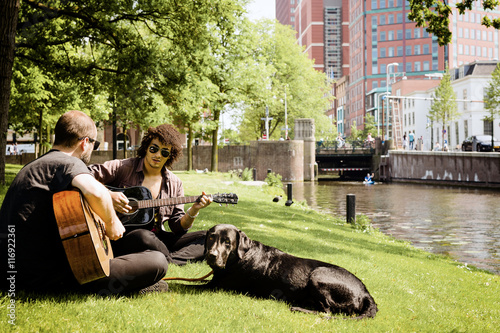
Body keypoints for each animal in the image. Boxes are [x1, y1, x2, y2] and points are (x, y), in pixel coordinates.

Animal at [201, 224, 376, 318]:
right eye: (211, 237)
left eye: (227, 241)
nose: (211, 255)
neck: (241, 256)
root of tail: (366, 293)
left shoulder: (216, 286)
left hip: (318, 274)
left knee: (326, 311)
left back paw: (297, 308)